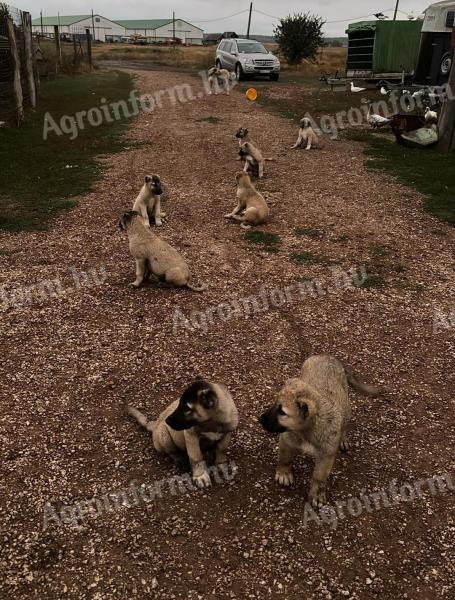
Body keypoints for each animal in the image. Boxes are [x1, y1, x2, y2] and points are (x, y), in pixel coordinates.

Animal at [260, 356, 384, 506]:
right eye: (274, 404)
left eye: (282, 412)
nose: (260, 419)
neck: (306, 430)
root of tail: (327, 356)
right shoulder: (286, 439)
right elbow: (285, 458)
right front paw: (284, 473)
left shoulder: (326, 455)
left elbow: (319, 478)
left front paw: (317, 495)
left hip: (347, 407)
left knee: (344, 425)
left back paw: (343, 439)